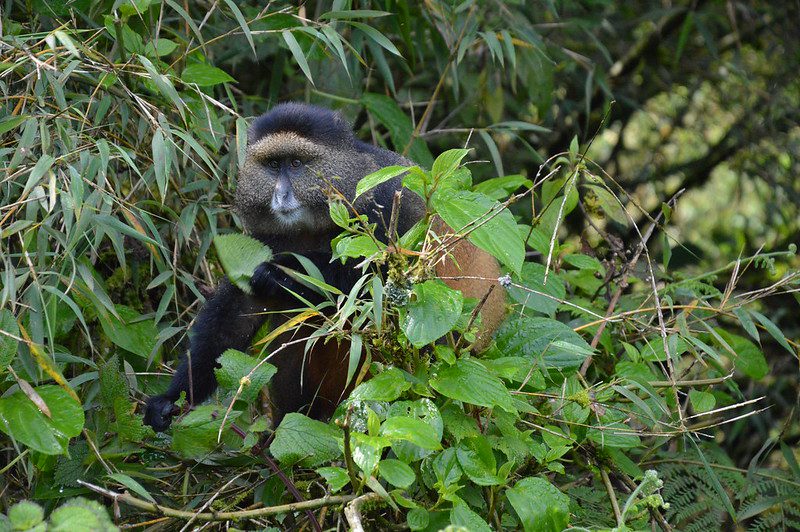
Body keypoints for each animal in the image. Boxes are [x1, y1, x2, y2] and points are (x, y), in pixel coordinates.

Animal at [144, 102, 506, 432]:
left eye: (296, 163)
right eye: (273, 165)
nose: (281, 195)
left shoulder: (390, 204)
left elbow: (383, 288)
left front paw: (283, 271)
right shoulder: (264, 237)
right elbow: (238, 311)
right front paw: (172, 398)